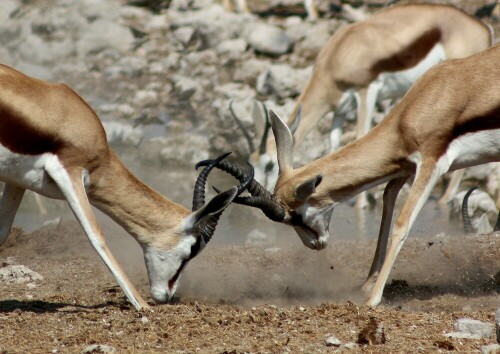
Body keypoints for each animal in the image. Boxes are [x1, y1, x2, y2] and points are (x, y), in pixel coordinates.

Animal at [0, 64, 252, 310]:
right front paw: (142, 305)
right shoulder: (69, 173)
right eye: (192, 249)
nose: (167, 296)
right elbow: (97, 236)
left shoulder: (17, 181)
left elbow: (3, 233)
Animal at [205, 43, 500, 304]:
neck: (423, 102)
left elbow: (402, 223)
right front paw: (366, 285)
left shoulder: (431, 164)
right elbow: (385, 212)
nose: (315, 244)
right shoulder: (403, 168)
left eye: (295, 216)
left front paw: (372, 299)